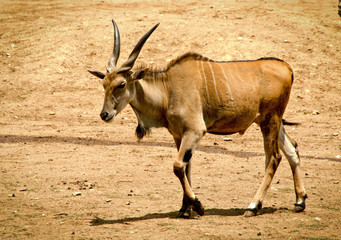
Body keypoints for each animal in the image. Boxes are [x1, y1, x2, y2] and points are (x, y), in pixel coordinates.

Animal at [87, 20, 306, 218]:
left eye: (121, 84)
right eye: (104, 84)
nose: (105, 114)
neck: (168, 89)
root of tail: (287, 68)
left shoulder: (195, 131)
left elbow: (177, 166)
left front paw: (197, 205)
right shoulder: (179, 135)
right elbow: (186, 167)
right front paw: (185, 208)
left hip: (270, 121)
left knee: (274, 158)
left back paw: (253, 206)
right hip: (272, 122)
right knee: (292, 149)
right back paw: (299, 201)